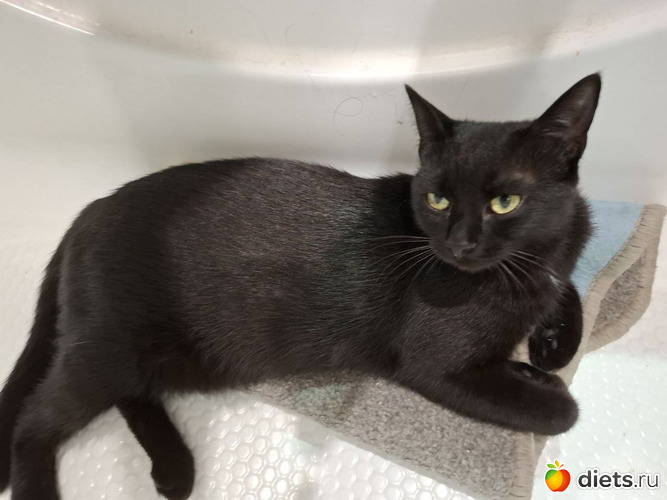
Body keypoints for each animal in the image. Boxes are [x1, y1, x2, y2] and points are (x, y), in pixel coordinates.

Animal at [0, 73, 600, 500]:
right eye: (437, 199)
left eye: (506, 202)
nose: (459, 243)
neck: (518, 267)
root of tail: (87, 212)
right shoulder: (433, 365)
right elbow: (563, 413)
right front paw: (541, 380)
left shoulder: (554, 264)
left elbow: (565, 288)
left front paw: (551, 345)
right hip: (109, 346)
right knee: (35, 420)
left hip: (171, 357)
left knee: (133, 393)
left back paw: (175, 469)